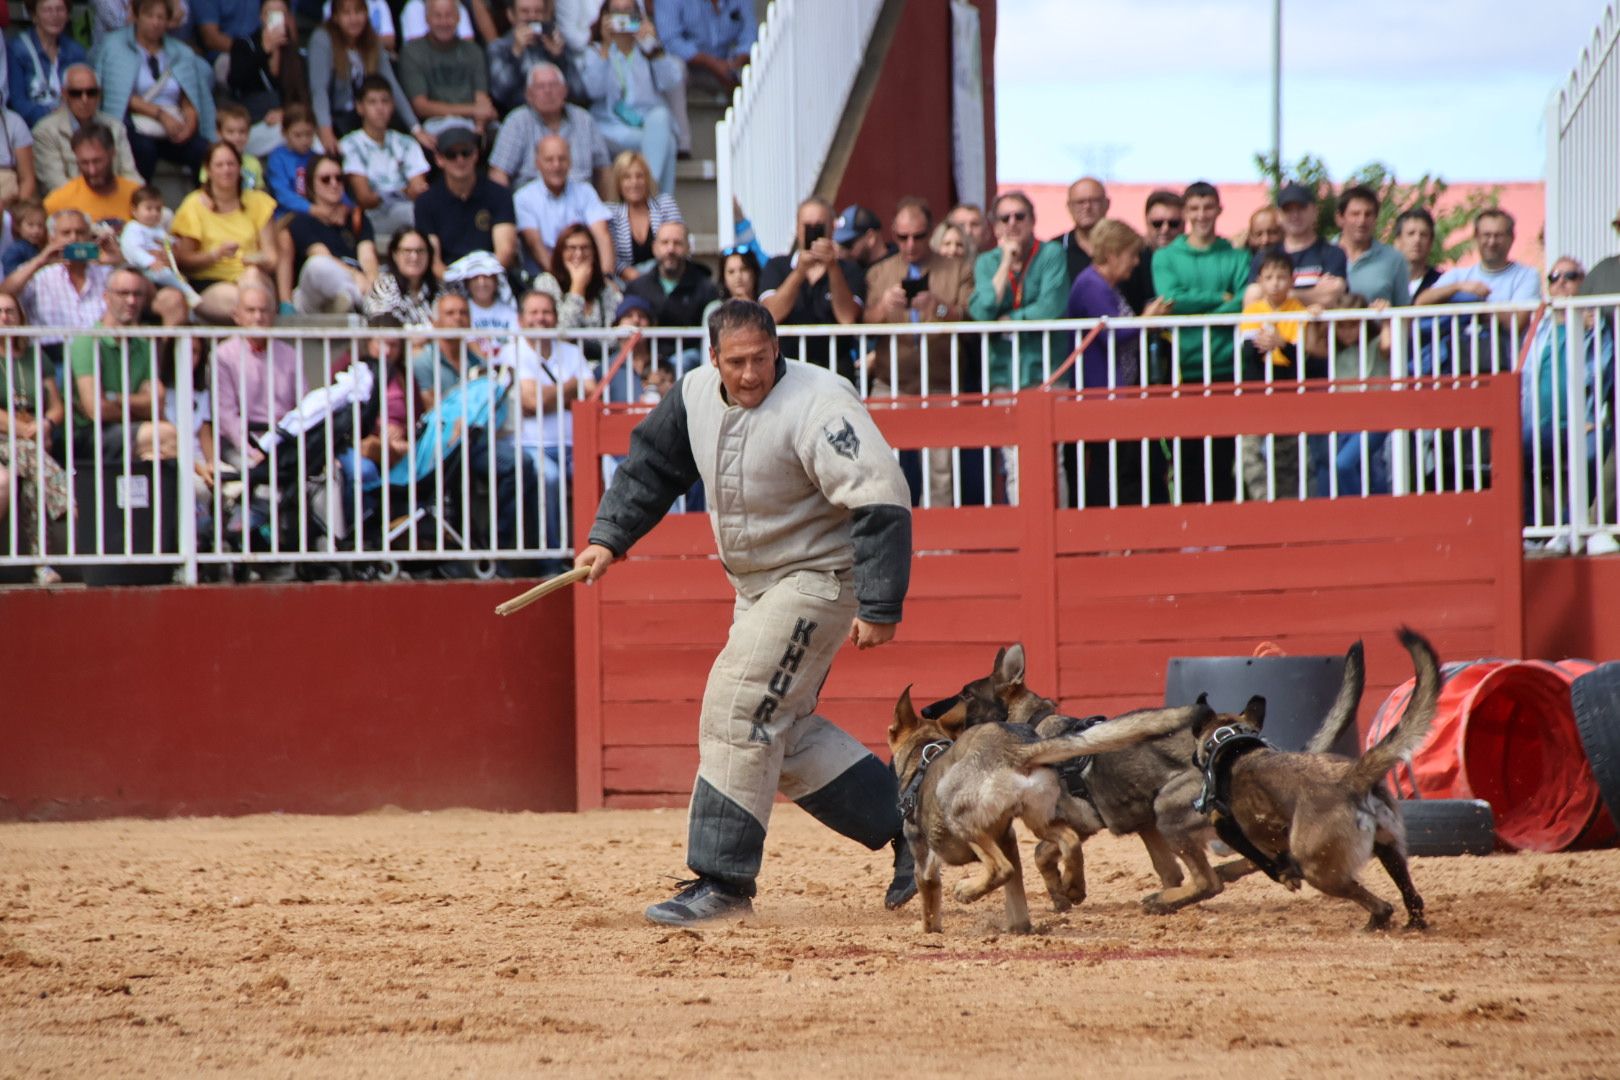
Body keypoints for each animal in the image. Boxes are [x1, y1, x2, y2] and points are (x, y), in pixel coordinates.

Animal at [887, 693, 1218, 939]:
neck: (924, 754)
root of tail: (1015, 750)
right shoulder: (1010, 837)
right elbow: (1019, 896)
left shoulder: (925, 865)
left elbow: (930, 904)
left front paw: (926, 931)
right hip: (1038, 819)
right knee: (1067, 843)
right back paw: (1073, 886)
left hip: (960, 814)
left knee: (1001, 869)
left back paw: (968, 891)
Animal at [926, 637, 1367, 919]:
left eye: (966, 694)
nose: (928, 710)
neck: (1031, 725)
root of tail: (1259, 751)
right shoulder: (1143, 827)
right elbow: (1162, 867)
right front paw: (1062, 892)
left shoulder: (1080, 822)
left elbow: (1043, 853)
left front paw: (1068, 889)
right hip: (1199, 821)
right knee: (1257, 861)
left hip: (1169, 808)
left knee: (1210, 880)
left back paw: (1166, 900)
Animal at [1192, 628, 1445, 932]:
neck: (1231, 743)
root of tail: (1352, 777)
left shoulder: (1226, 826)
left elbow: (1264, 860)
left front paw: (1285, 876)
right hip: (1388, 847)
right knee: (1412, 896)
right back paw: (1412, 924)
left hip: (1318, 867)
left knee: (1381, 904)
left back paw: (1375, 922)